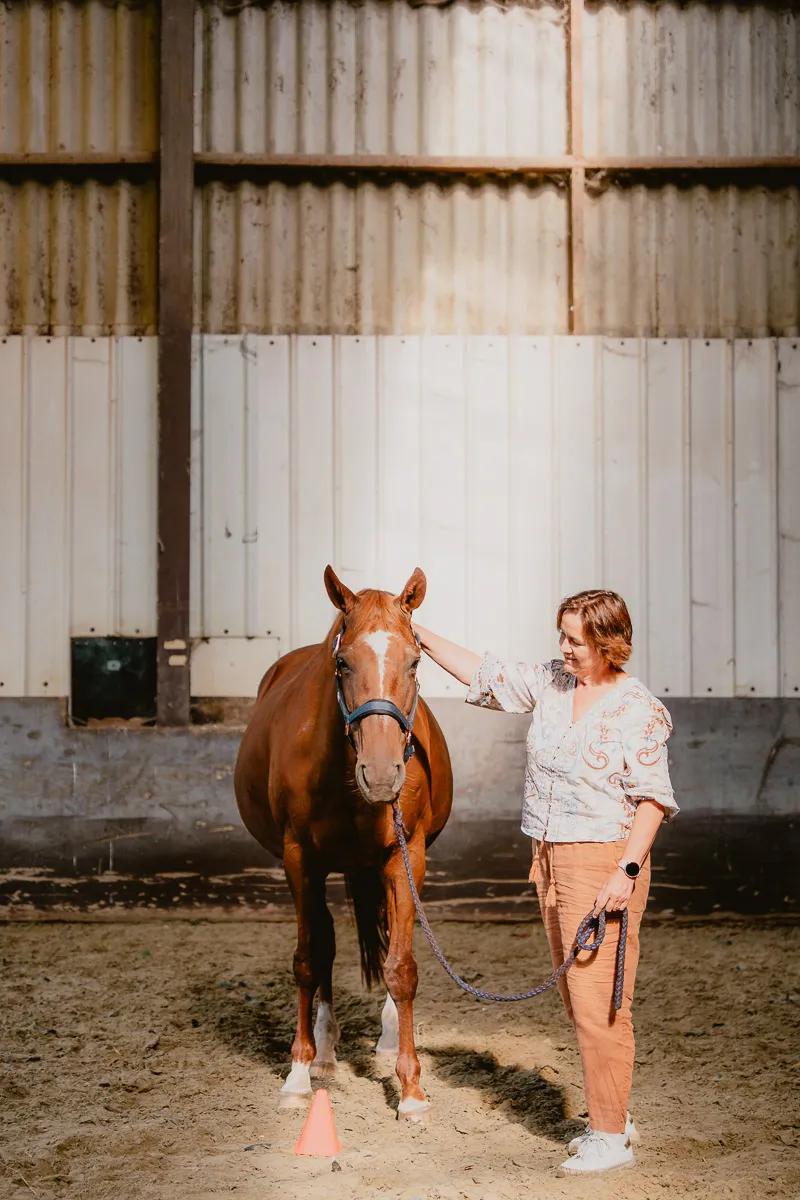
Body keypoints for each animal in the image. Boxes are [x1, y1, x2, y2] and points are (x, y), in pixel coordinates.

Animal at [234, 565, 453, 1119]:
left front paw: (411, 1088)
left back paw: (388, 1037)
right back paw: (326, 1053)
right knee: (327, 944)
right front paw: (297, 1073)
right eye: (342, 661)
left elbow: (402, 967)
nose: (382, 773)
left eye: (415, 660)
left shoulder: (405, 857)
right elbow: (309, 959)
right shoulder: (300, 861)